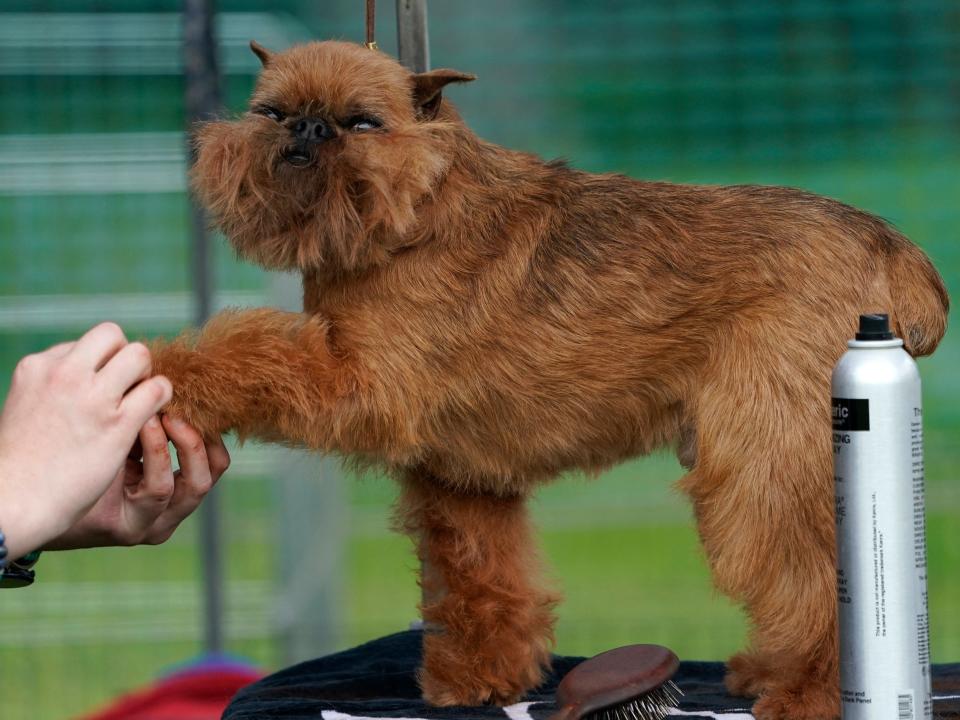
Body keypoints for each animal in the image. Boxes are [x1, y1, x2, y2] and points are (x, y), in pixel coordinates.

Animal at [152, 40, 952, 720]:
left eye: (361, 123)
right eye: (271, 112)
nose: (309, 130)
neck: (420, 209)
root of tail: (891, 248)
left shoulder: (361, 385)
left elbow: (253, 352)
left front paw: (165, 372)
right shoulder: (461, 479)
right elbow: (478, 579)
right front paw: (481, 681)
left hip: (766, 462)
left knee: (820, 576)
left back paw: (813, 694)